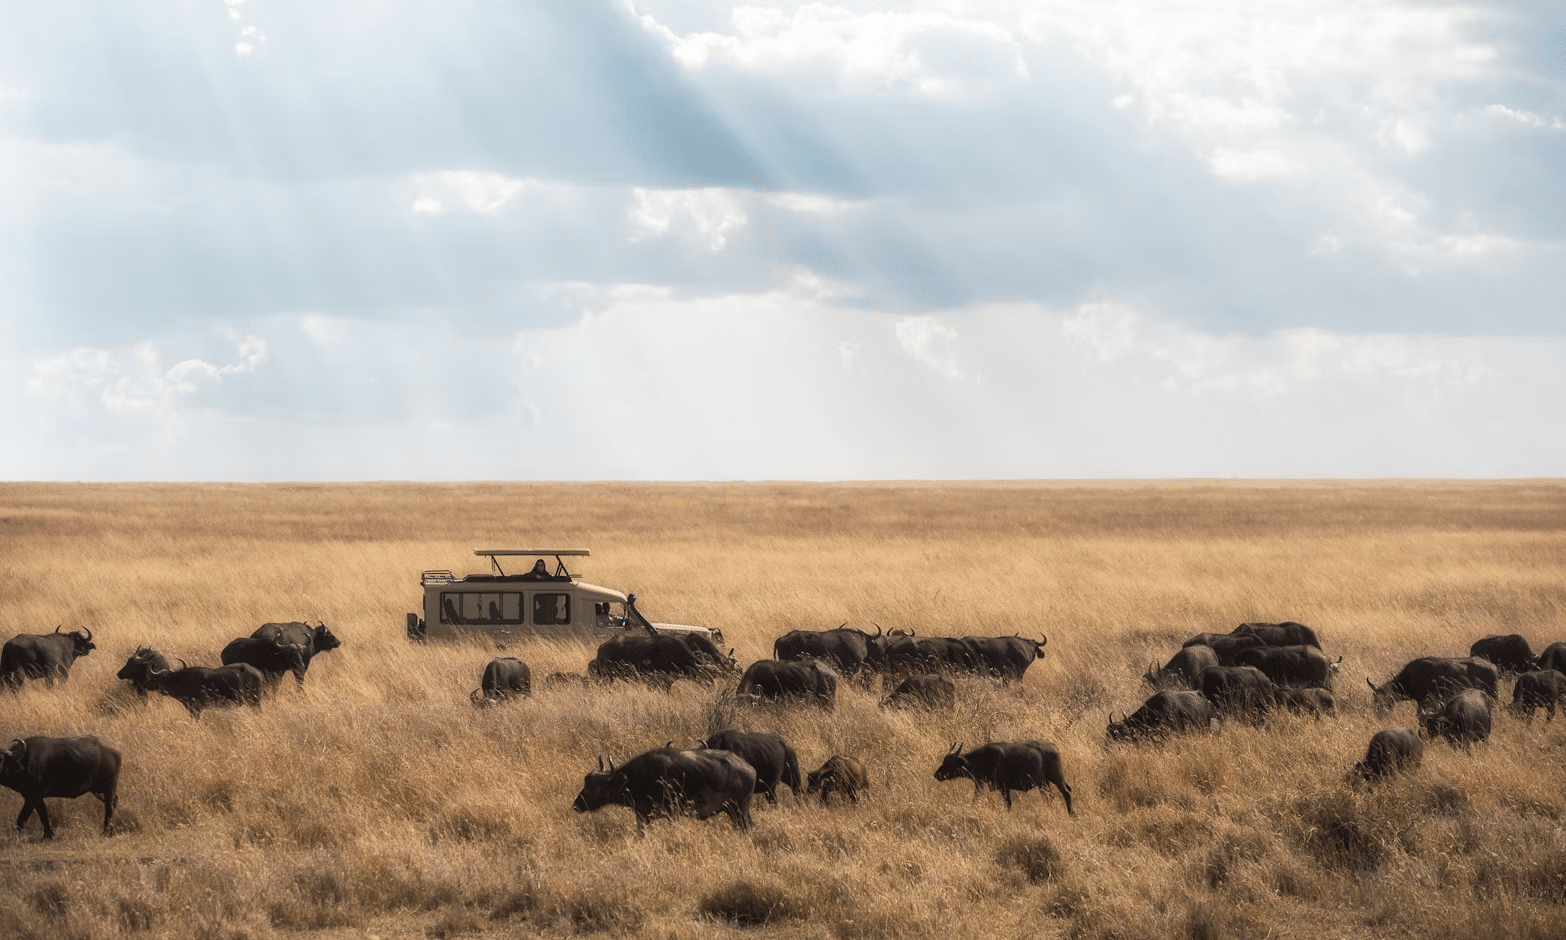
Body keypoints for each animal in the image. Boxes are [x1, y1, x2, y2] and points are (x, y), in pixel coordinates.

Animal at [572, 747, 757, 834]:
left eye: (593, 788)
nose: (576, 805)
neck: (640, 778)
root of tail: (750, 769)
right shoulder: (642, 817)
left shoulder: (672, 814)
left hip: (738, 810)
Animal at [933, 741, 1073, 814]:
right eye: (944, 761)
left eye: (949, 763)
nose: (936, 774)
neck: (984, 759)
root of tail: (1053, 746)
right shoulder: (981, 785)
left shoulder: (1004, 787)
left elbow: (1008, 803)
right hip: (1043, 783)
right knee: (1049, 796)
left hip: (1056, 777)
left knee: (1066, 793)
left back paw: (1072, 814)